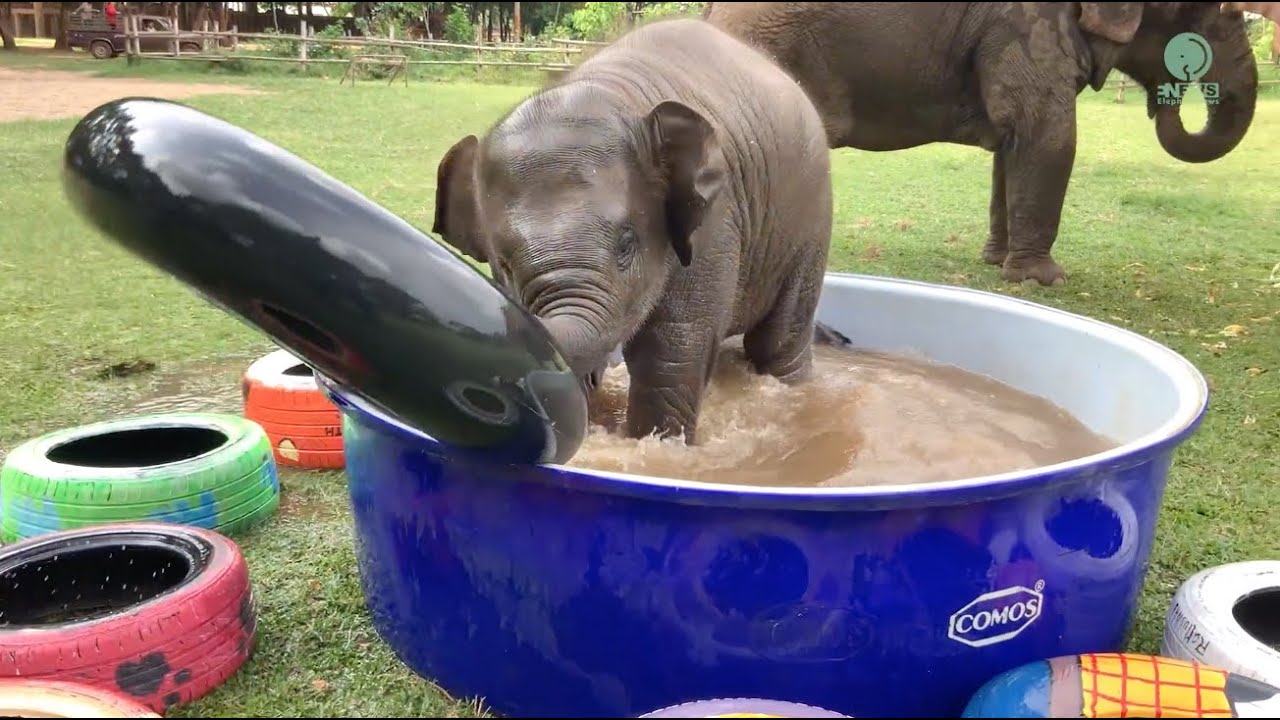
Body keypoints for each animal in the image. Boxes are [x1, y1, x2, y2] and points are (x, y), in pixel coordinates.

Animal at [431, 18, 835, 445]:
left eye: (626, 244)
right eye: (504, 266)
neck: (610, 90)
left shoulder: (715, 223)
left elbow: (671, 353)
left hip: (811, 219)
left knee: (779, 342)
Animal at [703, 2, 1262, 286]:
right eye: (1224, 17)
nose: (1161, 98)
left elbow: (1014, 144)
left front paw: (997, 263)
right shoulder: (1024, 26)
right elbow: (1049, 134)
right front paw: (1041, 281)